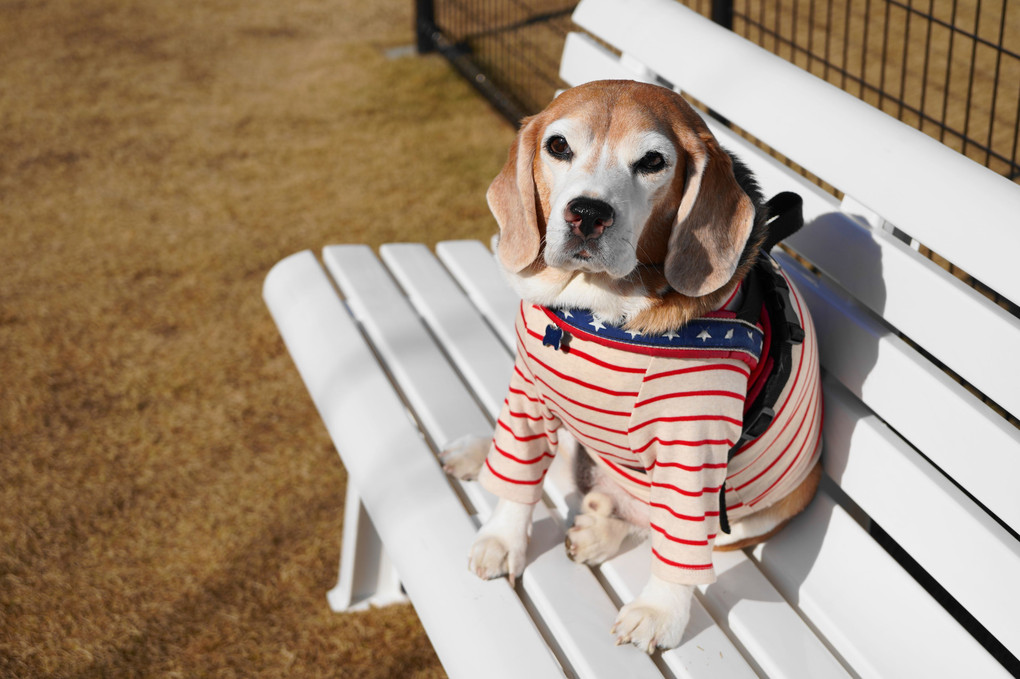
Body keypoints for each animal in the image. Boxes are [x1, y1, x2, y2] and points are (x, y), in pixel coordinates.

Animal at [442, 79, 824, 652]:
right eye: (558, 146)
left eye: (652, 161)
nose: (587, 213)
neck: (600, 312)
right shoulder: (529, 394)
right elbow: (517, 473)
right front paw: (503, 538)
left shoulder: (693, 446)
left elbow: (679, 553)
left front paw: (660, 611)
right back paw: (476, 455)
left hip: (767, 510)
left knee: (663, 531)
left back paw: (602, 532)